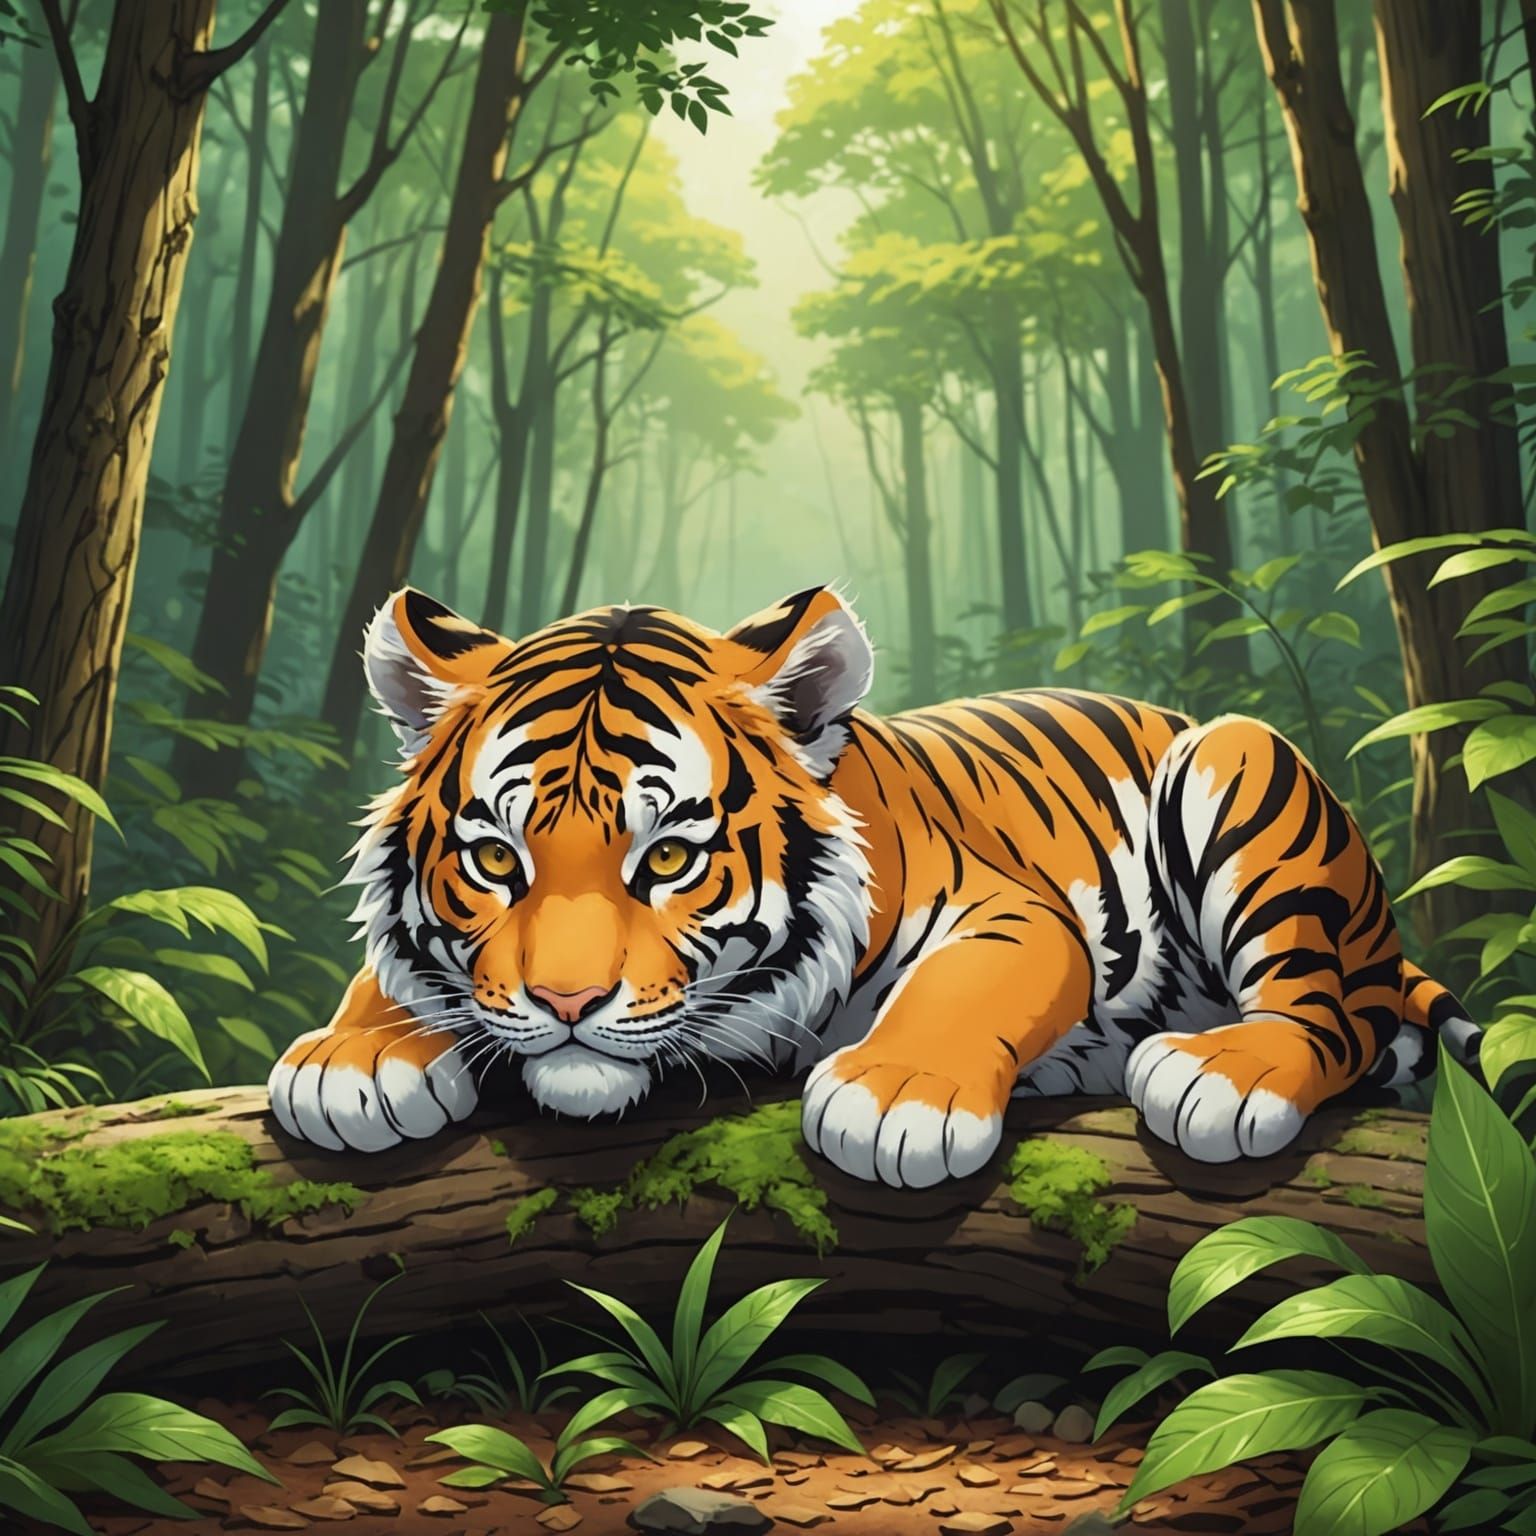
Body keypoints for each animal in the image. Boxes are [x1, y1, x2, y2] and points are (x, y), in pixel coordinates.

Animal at [267, 585, 1479, 1186]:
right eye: (494, 861)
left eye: (668, 859)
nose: (566, 1006)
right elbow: (401, 971)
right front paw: (356, 1059)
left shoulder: (1013, 911)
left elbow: (961, 989)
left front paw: (898, 1097)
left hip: (1238, 760)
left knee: (1339, 1017)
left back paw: (1225, 1069)